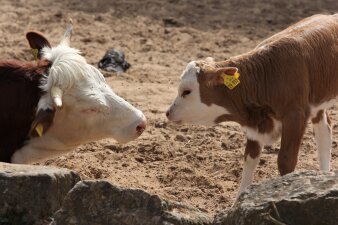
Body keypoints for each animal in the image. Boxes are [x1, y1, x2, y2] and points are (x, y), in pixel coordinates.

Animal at [166, 14, 338, 197]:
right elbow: (249, 160)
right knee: (324, 134)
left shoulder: (295, 116)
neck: (267, 75)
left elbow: (286, 160)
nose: (168, 112)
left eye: (187, 91)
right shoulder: (255, 125)